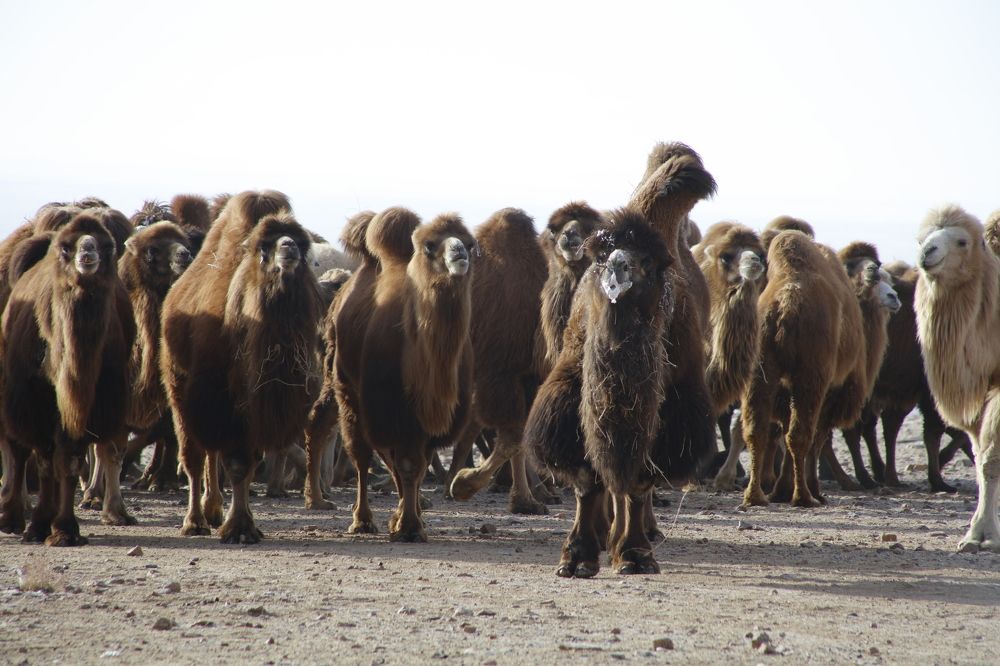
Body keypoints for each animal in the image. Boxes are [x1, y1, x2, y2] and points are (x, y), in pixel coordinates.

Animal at [0, 211, 135, 545]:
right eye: (66, 248)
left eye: (106, 246)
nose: (87, 252)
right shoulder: (36, 401)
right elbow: (45, 461)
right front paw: (38, 526)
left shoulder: (89, 404)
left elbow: (70, 461)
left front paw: (63, 529)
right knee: (18, 450)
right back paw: (12, 519)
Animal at [161, 191, 322, 543]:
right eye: (265, 247)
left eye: (302, 245)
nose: (289, 247)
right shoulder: (223, 404)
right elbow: (234, 463)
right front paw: (237, 528)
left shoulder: (254, 411)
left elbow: (246, 466)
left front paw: (243, 525)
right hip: (181, 391)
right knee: (195, 456)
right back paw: (195, 521)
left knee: (212, 455)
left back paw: (213, 510)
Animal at [334, 208, 475, 542]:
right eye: (429, 246)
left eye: (470, 243)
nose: (459, 253)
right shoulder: (392, 408)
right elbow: (409, 465)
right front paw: (408, 526)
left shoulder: (427, 419)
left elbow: (418, 465)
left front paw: (411, 521)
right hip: (350, 393)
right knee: (361, 454)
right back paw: (362, 520)